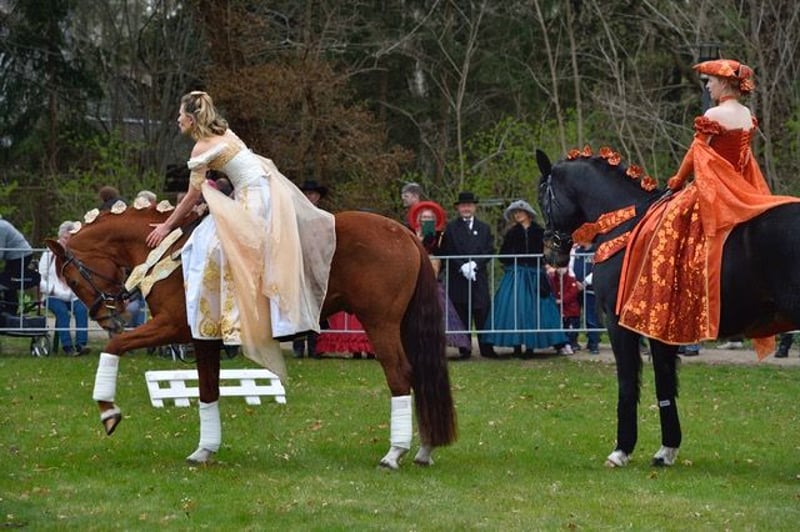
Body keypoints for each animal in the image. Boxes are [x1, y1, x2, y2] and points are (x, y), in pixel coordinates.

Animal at [46, 206, 456, 470]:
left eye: (72, 278)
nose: (105, 316)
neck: (168, 253)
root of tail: (405, 233)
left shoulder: (170, 326)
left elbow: (116, 348)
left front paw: (108, 411)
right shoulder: (201, 338)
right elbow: (207, 390)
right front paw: (205, 449)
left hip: (380, 325)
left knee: (400, 377)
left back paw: (395, 453)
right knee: (420, 377)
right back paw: (424, 449)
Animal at [536, 148, 800, 467]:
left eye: (543, 196)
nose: (551, 254)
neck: (627, 223)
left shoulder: (617, 323)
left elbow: (628, 383)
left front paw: (622, 449)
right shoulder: (661, 330)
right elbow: (665, 383)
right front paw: (667, 449)